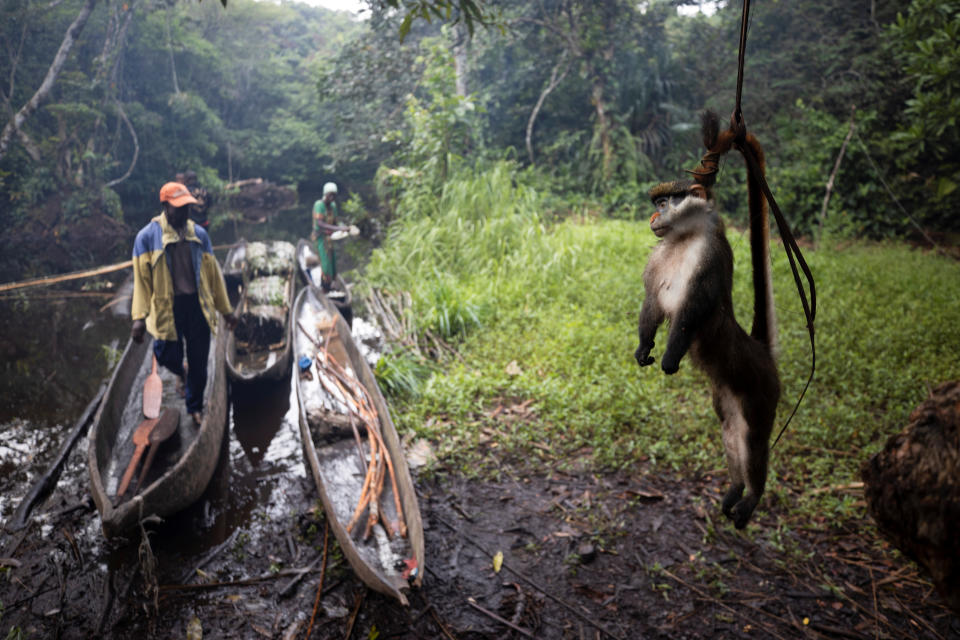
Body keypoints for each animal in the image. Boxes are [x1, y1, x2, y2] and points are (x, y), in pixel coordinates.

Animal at [636, 111, 780, 528]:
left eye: (665, 201)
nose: (654, 215)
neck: (684, 238)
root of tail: (761, 352)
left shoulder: (710, 255)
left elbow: (690, 311)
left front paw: (670, 358)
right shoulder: (658, 256)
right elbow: (653, 303)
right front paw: (644, 348)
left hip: (761, 393)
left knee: (754, 441)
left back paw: (752, 497)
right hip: (726, 396)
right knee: (731, 433)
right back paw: (735, 489)